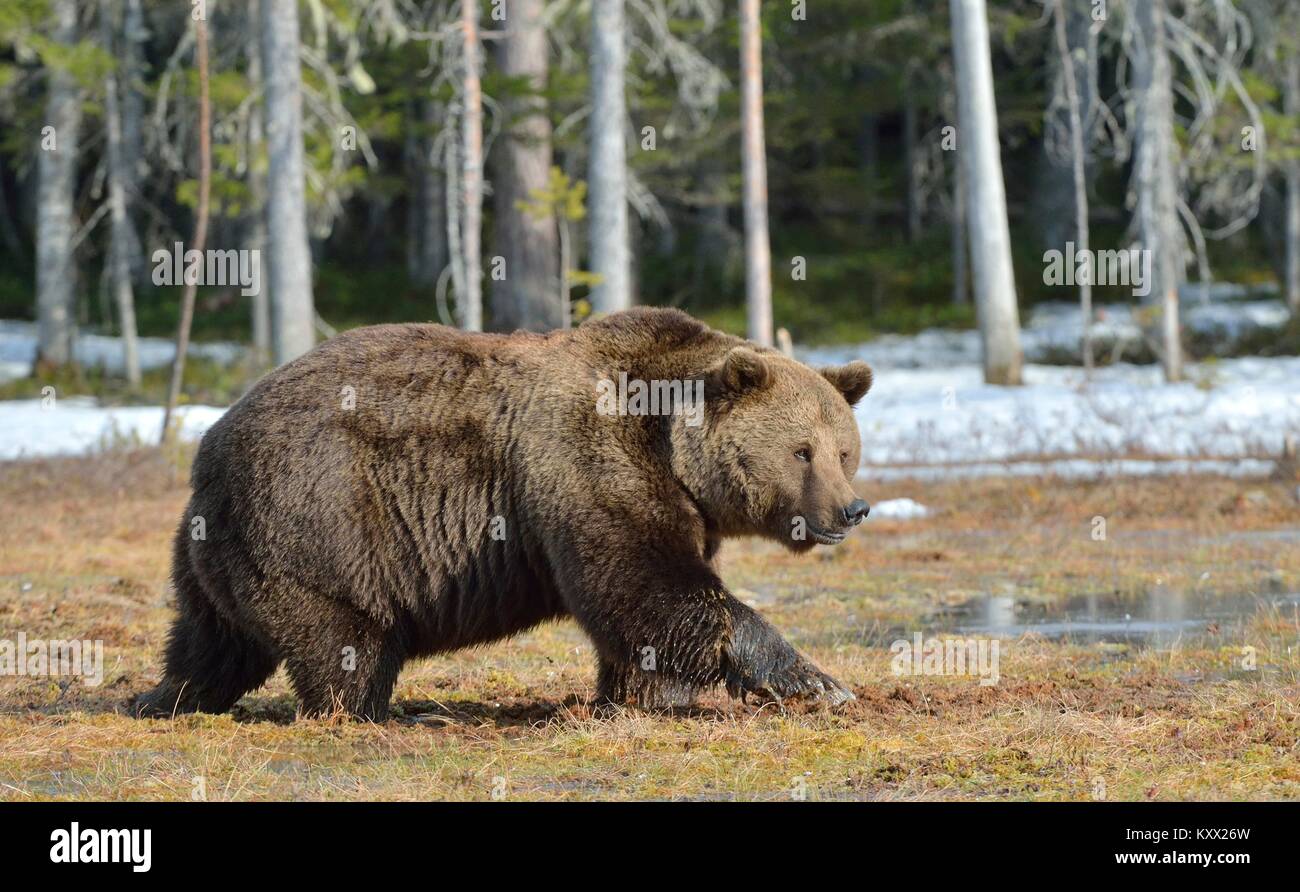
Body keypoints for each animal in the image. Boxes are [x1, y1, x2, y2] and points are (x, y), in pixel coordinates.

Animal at [137, 306, 873, 717]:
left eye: (845, 450)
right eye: (802, 451)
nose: (851, 509)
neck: (669, 443)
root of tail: (211, 445)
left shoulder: (675, 501)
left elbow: (645, 611)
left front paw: (640, 696)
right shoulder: (588, 465)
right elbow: (649, 587)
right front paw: (816, 682)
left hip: (215, 550)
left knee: (213, 637)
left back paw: (164, 697)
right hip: (321, 518)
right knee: (344, 639)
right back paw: (370, 711)